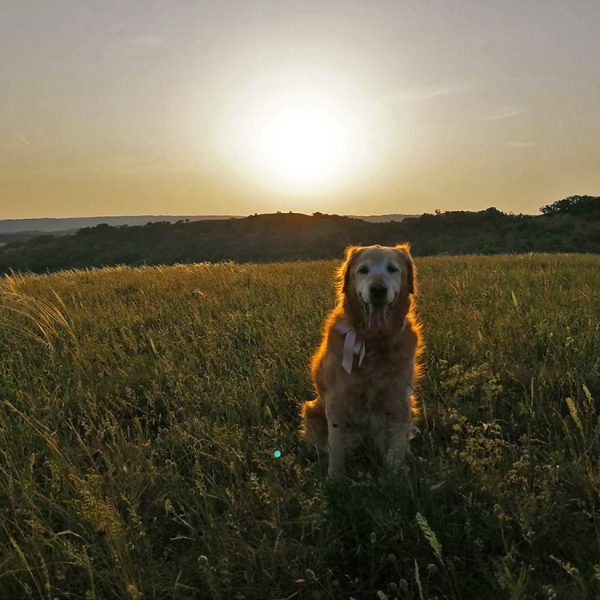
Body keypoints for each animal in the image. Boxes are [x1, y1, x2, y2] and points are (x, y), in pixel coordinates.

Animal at [300, 244, 422, 478]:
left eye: (392, 269)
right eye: (363, 270)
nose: (378, 290)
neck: (373, 342)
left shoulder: (399, 399)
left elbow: (396, 446)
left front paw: (394, 475)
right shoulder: (337, 399)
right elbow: (336, 447)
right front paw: (334, 479)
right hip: (311, 411)